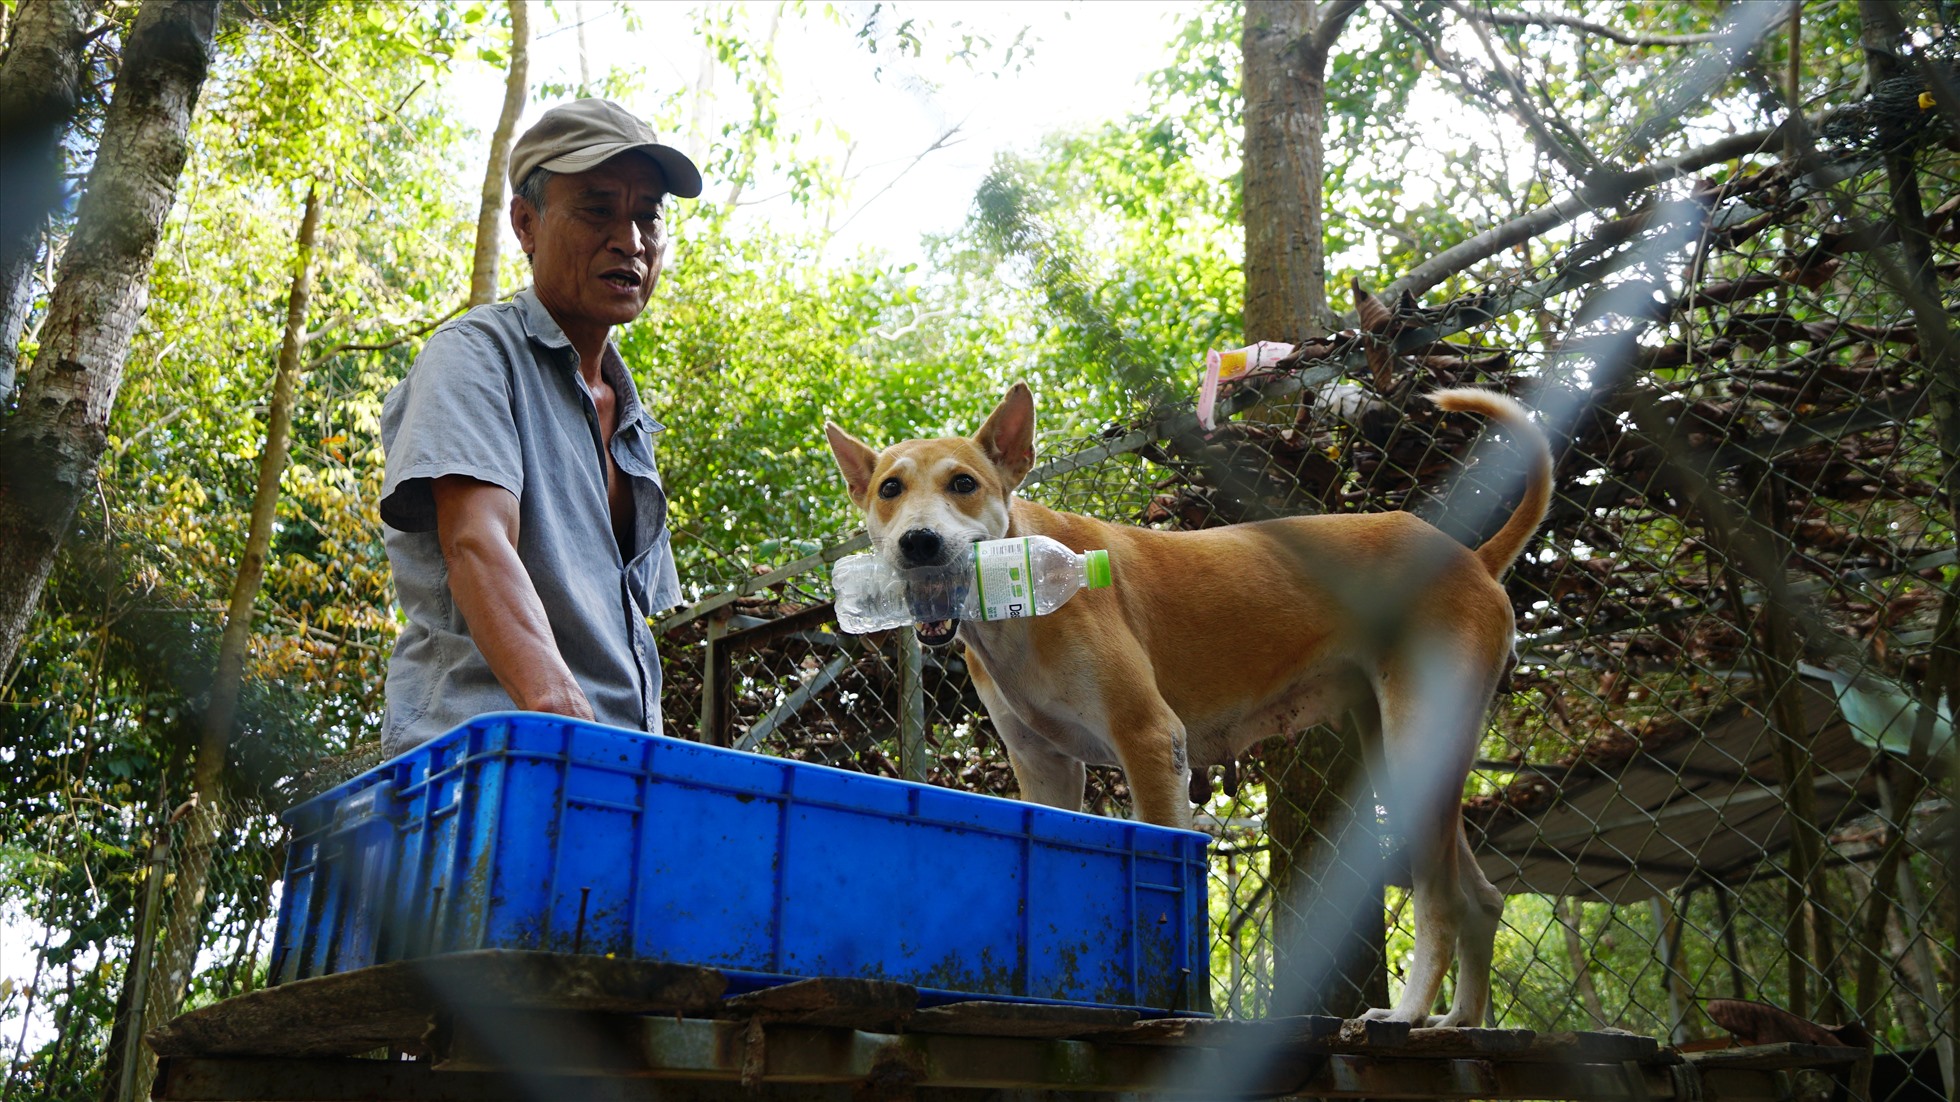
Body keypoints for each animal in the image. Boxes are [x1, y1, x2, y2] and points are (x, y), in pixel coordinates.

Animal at [823, 380, 1544, 1019]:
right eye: (890, 489)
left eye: (963, 484)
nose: (918, 543)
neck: (1016, 592)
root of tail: (1472, 559)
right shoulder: (1044, 768)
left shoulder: (1148, 738)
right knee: (1481, 900)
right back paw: (1457, 1023)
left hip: (1417, 744)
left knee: (1441, 900)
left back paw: (1410, 1015)